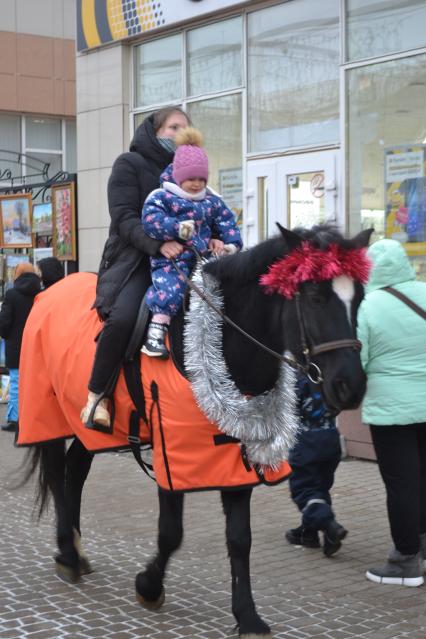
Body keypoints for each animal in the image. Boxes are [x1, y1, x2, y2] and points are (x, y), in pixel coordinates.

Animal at [21, 226, 372, 639]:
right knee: (57, 476)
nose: (351, 386)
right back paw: (67, 554)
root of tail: (49, 291)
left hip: (91, 428)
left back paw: (76, 549)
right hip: (48, 414)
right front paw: (148, 586)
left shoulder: (237, 453)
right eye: (315, 296)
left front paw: (248, 616)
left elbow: (239, 539)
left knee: (75, 471)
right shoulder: (171, 451)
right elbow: (171, 532)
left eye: (360, 297)